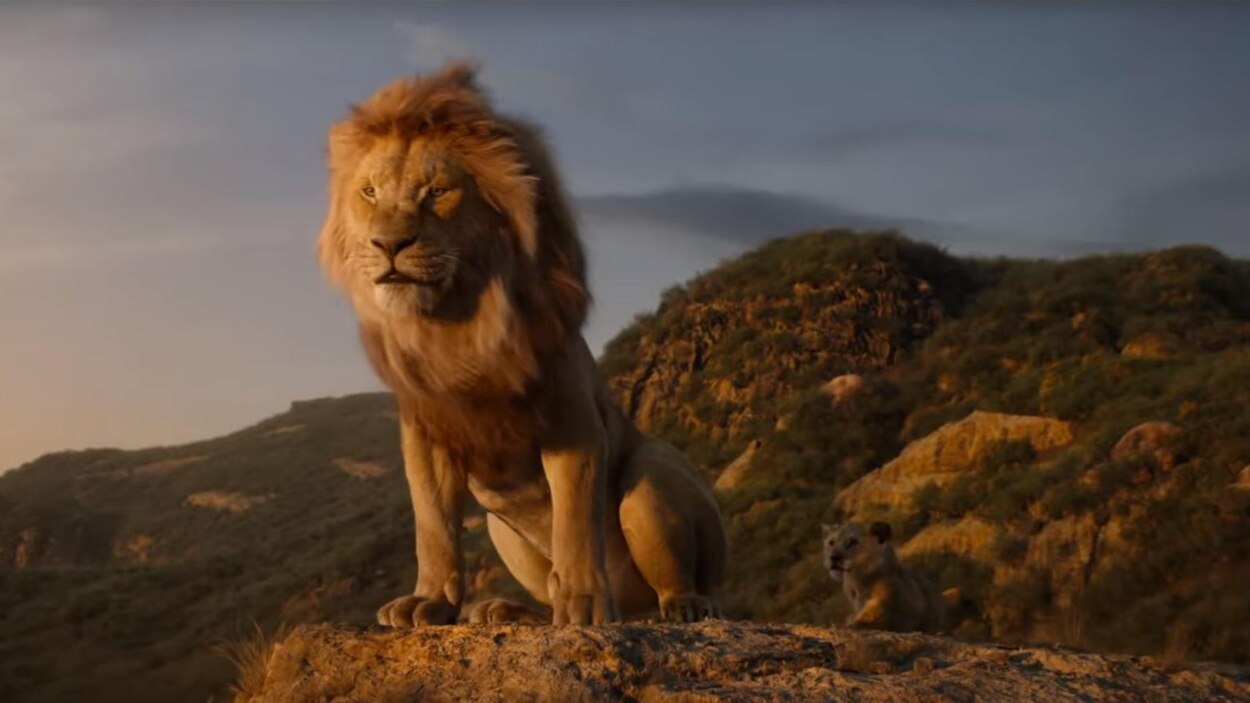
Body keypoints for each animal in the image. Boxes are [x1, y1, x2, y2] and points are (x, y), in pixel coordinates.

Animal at [316, 62, 727, 626]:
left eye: (437, 191)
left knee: (682, 578)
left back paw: (680, 606)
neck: (456, 325)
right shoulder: (426, 437)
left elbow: (575, 522)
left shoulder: (571, 423)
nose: (388, 244)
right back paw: (508, 611)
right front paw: (430, 601)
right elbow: (433, 528)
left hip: (652, 476)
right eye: (370, 193)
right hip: (501, 529)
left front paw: (585, 606)